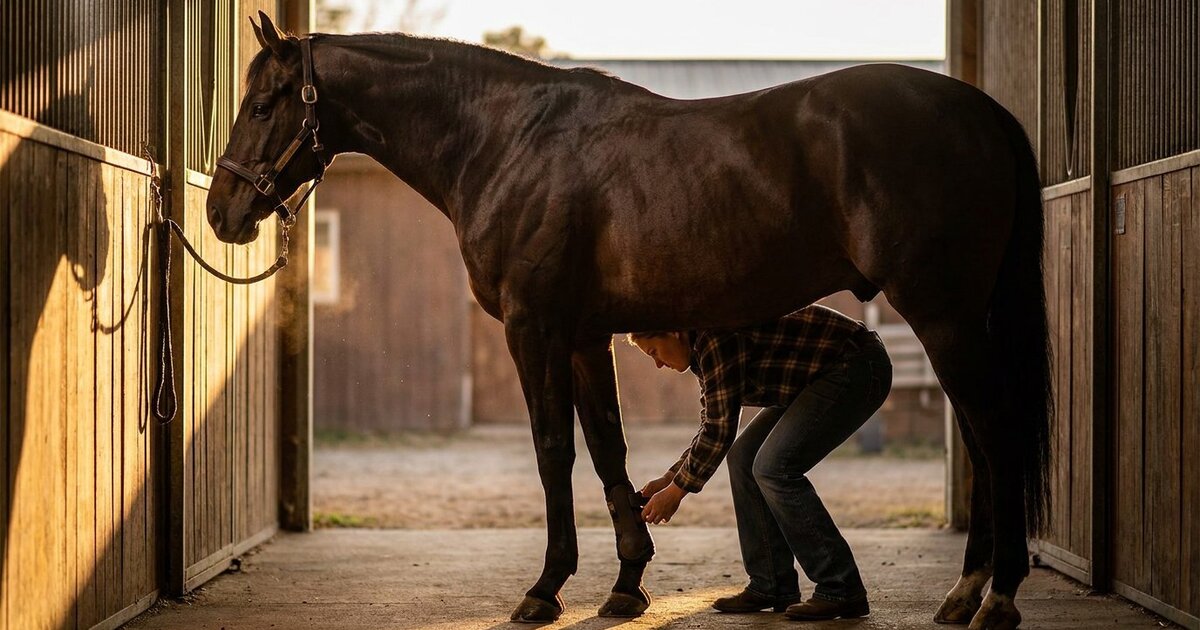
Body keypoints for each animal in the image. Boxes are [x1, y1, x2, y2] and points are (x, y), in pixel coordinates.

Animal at [206, 13, 1052, 630]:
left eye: (261, 105)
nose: (222, 215)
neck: (506, 141)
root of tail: (983, 110)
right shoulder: (586, 335)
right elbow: (608, 451)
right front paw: (626, 583)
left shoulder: (534, 329)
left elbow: (554, 452)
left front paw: (544, 589)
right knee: (984, 438)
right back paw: (967, 595)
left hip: (943, 316)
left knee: (995, 434)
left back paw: (996, 595)